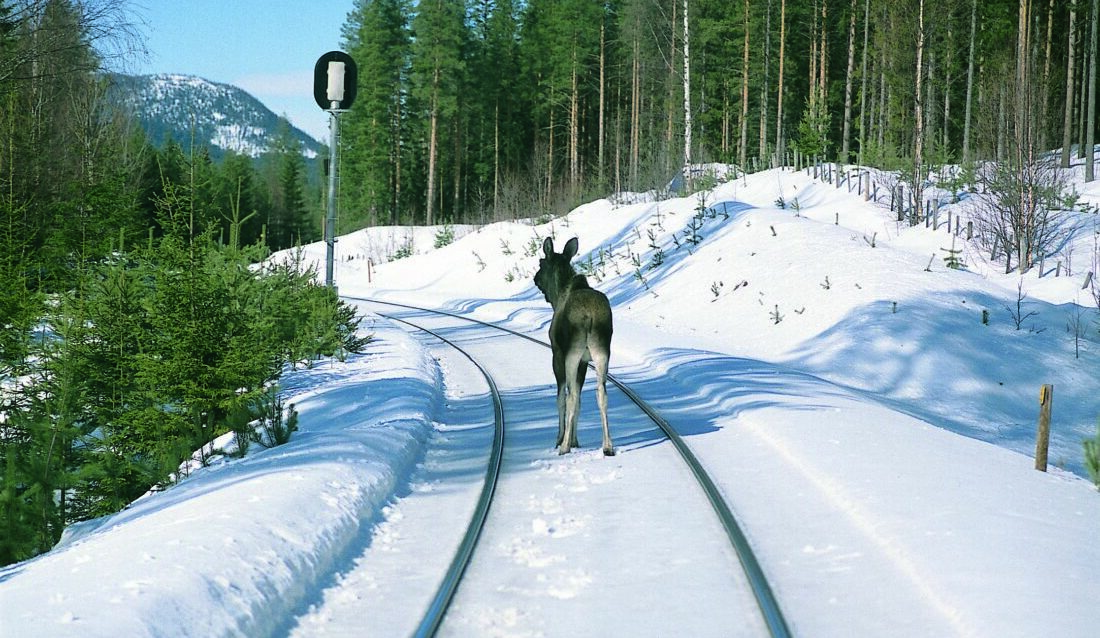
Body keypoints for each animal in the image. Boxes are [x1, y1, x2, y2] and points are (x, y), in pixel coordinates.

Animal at [530, 237, 616, 453]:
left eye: (541, 263)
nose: (535, 278)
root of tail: (590, 316)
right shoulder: (585, 361)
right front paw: (576, 439)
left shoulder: (556, 353)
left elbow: (562, 397)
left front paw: (562, 438)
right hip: (602, 351)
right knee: (601, 392)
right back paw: (607, 446)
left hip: (571, 353)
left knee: (571, 396)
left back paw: (564, 446)